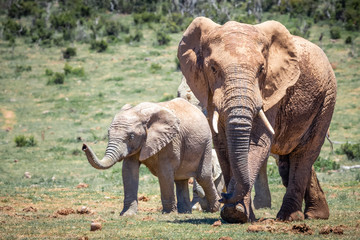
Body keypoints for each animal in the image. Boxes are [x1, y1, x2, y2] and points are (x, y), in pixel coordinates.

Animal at [83, 97, 221, 216]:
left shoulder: (171, 141)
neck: (139, 113)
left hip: (206, 143)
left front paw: (168, 213)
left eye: (131, 136)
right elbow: (128, 171)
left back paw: (213, 209)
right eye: (108, 134)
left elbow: (164, 173)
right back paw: (185, 212)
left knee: (203, 176)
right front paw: (127, 214)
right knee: (180, 179)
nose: (84, 146)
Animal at [178, 17, 338, 223]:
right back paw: (316, 215)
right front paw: (236, 213)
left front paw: (236, 212)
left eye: (262, 69)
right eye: (213, 68)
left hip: (327, 99)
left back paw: (290, 217)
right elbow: (223, 145)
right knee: (290, 160)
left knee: (305, 153)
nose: (224, 196)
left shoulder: (272, 91)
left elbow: (257, 143)